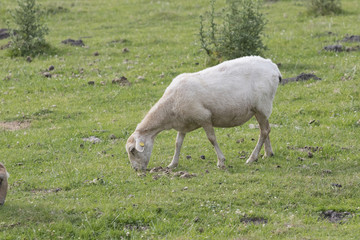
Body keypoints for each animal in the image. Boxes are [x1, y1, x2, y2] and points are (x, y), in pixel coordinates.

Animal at [126, 56, 282, 172]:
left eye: (133, 151)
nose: (136, 170)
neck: (170, 106)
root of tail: (272, 66)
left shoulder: (204, 117)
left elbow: (211, 139)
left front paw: (221, 161)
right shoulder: (183, 124)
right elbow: (178, 143)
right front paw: (173, 164)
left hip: (262, 105)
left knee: (264, 131)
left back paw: (252, 158)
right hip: (259, 109)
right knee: (265, 130)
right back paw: (268, 153)